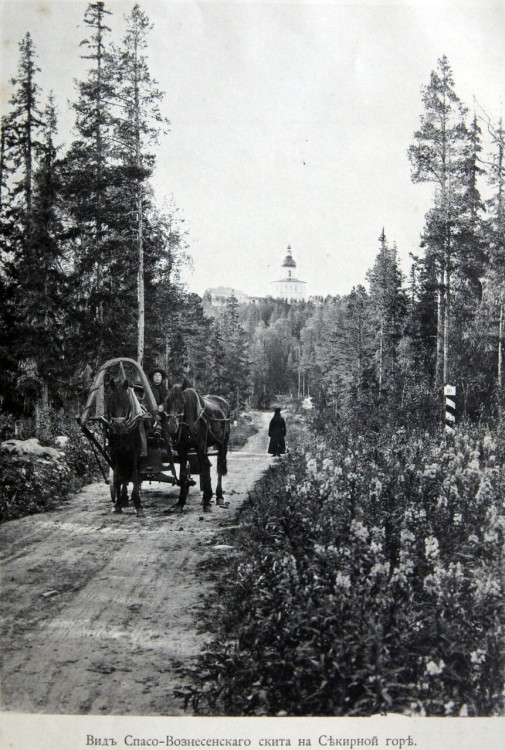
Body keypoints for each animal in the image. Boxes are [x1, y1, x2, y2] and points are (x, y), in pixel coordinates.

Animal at [105, 376, 146, 516]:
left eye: (127, 402)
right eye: (111, 402)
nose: (118, 425)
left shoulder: (135, 452)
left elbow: (135, 475)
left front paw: (138, 504)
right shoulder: (115, 452)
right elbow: (118, 477)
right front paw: (117, 504)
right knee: (123, 477)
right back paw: (123, 496)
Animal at [166, 384, 231, 516]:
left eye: (182, 401)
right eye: (167, 401)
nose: (172, 426)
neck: (191, 422)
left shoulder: (200, 447)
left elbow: (206, 470)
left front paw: (207, 502)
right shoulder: (182, 449)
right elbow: (183, 473)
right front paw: (180, 503)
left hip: (222, 444)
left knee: (218, 467)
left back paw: (219, 496)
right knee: (207, 466)